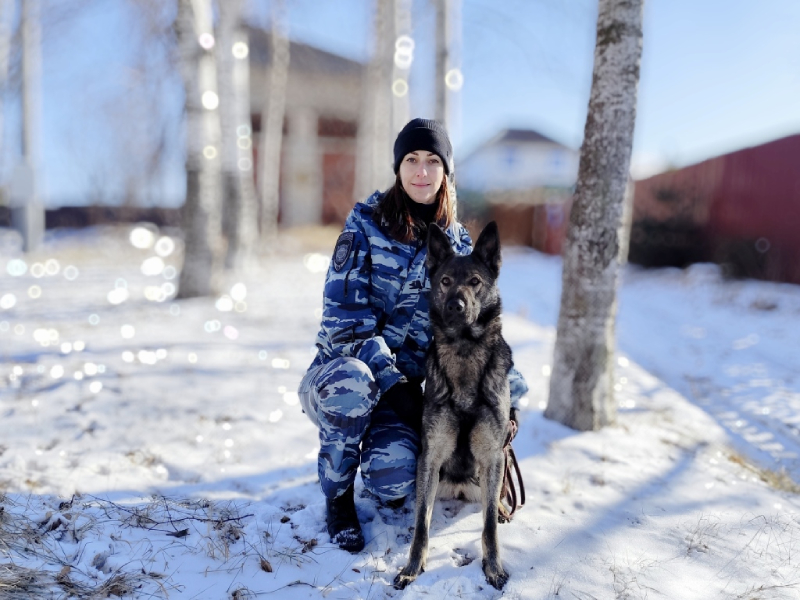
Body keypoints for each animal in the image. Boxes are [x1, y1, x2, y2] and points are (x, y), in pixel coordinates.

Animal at [396, 220, 520, 592]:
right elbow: (421, 526)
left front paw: (492, 567)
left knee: (495, 505)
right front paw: (412, 567)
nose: (455, 306)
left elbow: (489, 527)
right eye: (446, 281)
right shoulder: (431, 457)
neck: (465, 350)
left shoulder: (493, 456)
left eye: (475, 281)